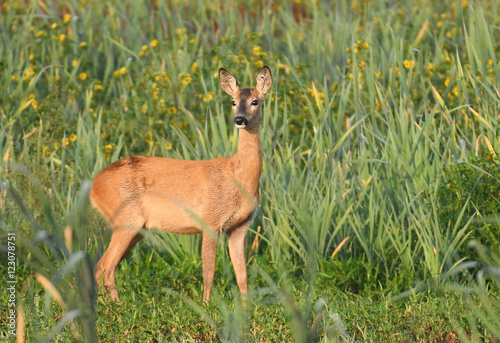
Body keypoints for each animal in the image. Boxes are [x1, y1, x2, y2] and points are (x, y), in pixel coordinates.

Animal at [90, 66, 274, 302]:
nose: (240, 119)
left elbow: (242, 274)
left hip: (136, 227)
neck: (238, 177)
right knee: (104, 265)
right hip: (126, 218)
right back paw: (114, 306)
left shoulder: (240, 226)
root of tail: (94, 185)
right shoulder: (210, 220)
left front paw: (246, 305)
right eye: (233, 102)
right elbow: (209, 272)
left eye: (255, 101)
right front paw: (206, 304)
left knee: (105, 267)